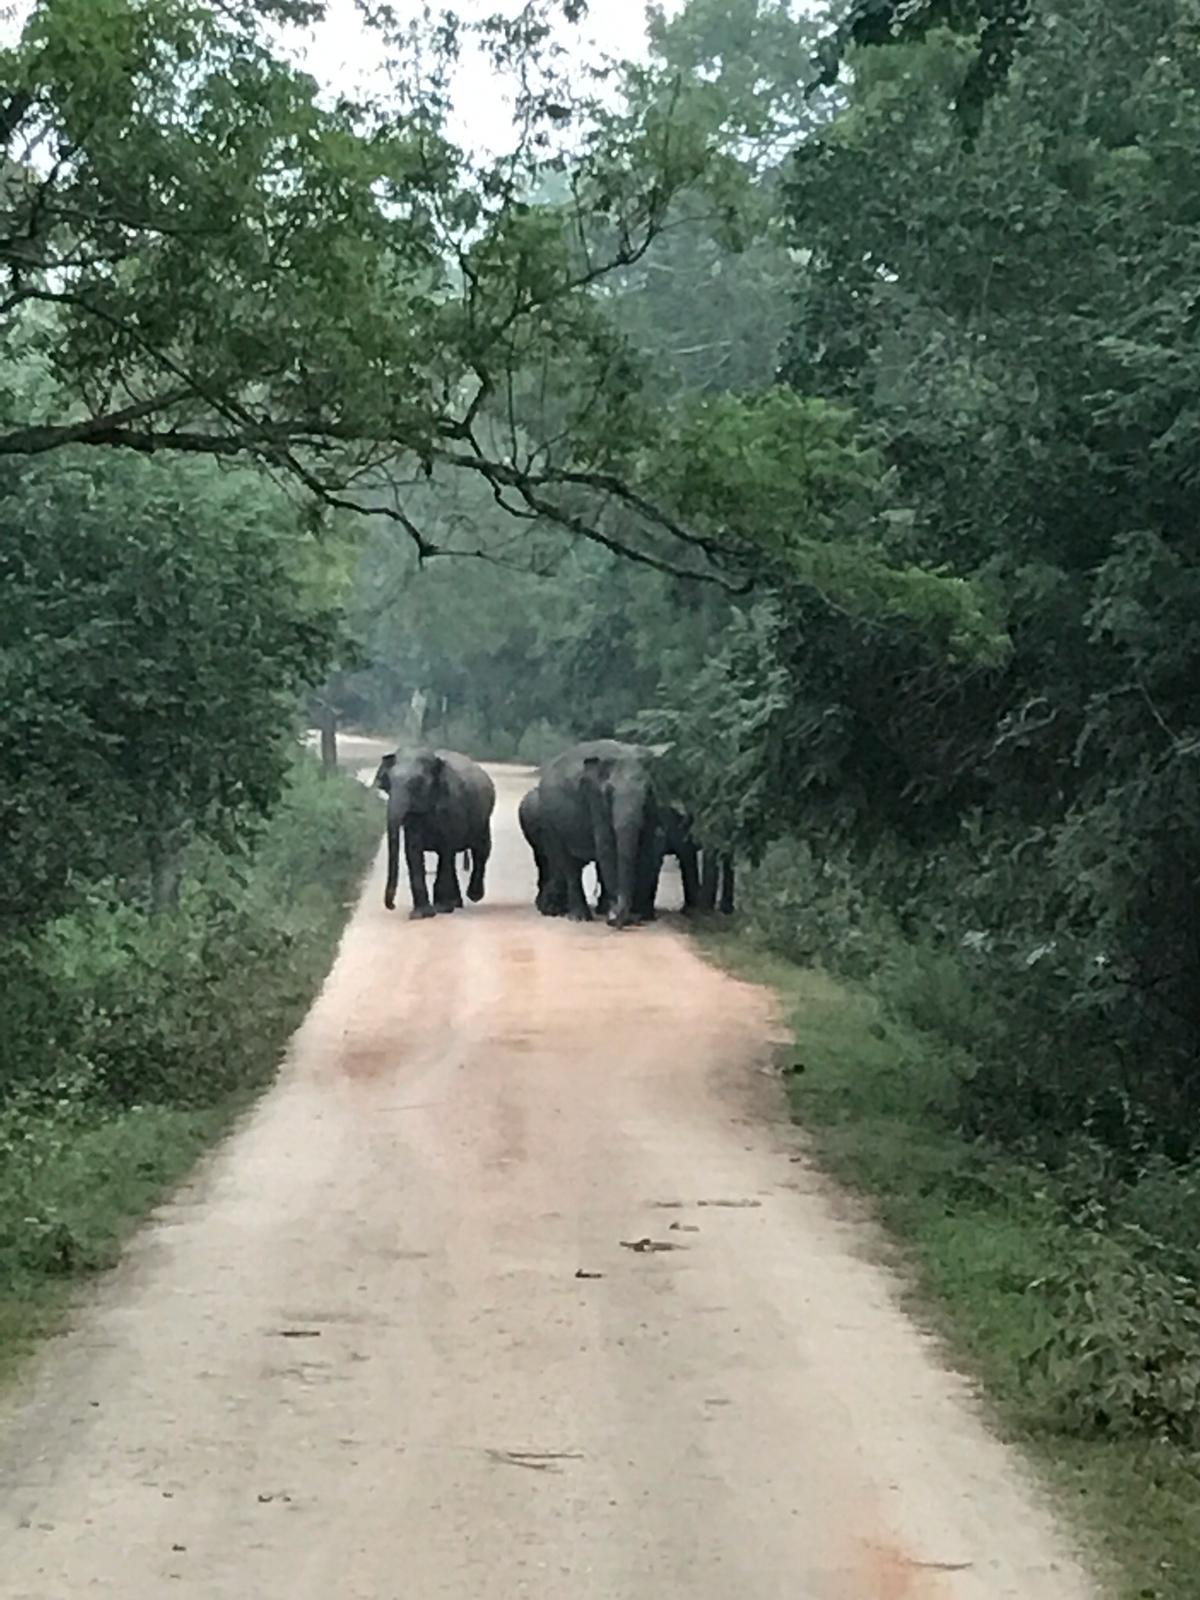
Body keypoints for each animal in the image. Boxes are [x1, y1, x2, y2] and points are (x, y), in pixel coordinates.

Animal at [371, 745, 492, 921]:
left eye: (416, 783)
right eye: (390, 783)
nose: (392, 906)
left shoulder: (452, 807)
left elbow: (446, 849)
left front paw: (441, 908)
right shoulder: (413, 820)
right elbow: (412, 851)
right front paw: (420, 914)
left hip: (483, 818)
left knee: (481, 851)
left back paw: (472, 896)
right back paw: (456, 903)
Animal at [534, 736, 668, 928]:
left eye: (647, 790)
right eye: (609, 793)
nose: (615, 917)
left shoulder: (652, 806)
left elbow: (646, 846)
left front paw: (635, 917)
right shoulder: (594, 798)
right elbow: (606, 846)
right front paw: (616, 915)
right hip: (549, 820)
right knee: (568, 864)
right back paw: (580, 917)